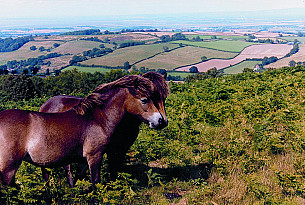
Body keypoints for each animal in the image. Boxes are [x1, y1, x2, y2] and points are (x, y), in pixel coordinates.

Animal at [0, 75, 166, 187]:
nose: (160, 120)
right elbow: (95, 182)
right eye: (145, 99)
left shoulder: (82, 159)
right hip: (8, 169)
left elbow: (79, 177)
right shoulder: (95, 156)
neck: (97, 118)